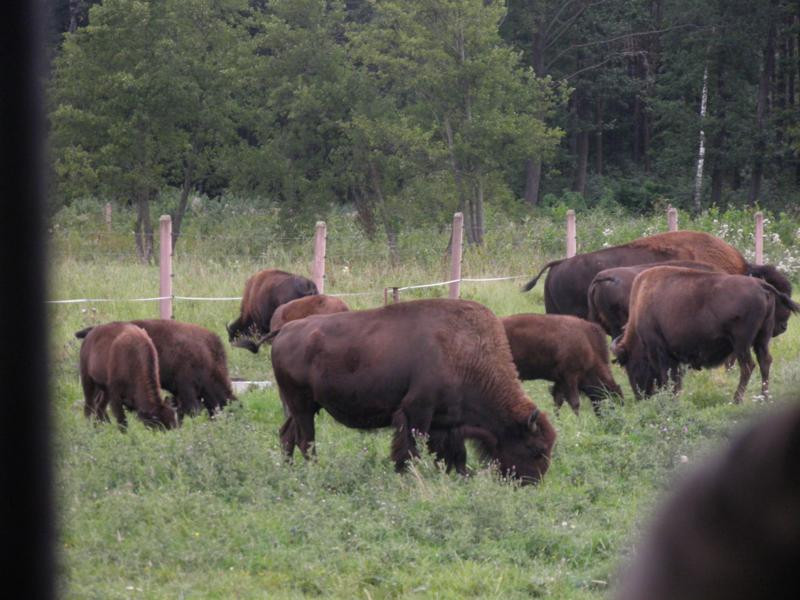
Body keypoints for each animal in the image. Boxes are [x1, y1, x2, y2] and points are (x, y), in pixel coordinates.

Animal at [271, 299, 557, 483]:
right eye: (536, 448)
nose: (532, 483)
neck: (465, 354)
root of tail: (285, 330)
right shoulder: (416, 412)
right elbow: (409, 449)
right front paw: (407, 475)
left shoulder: (447, 423)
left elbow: (453, 454)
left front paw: (457, 475)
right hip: (302, 406)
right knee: (306, 440)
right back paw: (314, 471)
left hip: (299, 407)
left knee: (287, 435)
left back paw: (289, 470)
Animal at [611, 267, 800, 403]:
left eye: (630, 365)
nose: (640, 397)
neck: (641, 302)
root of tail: (761, 285)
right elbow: (675, 378)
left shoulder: (658, 350)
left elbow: (667, 376)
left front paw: (670, 399)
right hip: (762, 339)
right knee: (764, 361)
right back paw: (764, 397)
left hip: (741, 343)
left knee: (747, 366)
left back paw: (737, 399)